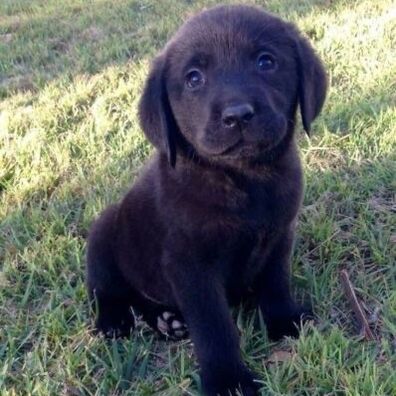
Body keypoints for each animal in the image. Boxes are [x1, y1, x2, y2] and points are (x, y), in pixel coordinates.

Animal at [88, 3, 326, 396]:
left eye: (266, 61)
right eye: (194, 78)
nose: (237, 115)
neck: (245, 180)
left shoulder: (280, 236)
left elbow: (276, 282)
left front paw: (283, 322)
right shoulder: (192, 268)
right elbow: (214, 328)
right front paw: (228, 380)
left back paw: (166, 321)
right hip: (104, 232)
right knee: (106, 290)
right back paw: (115, 321)